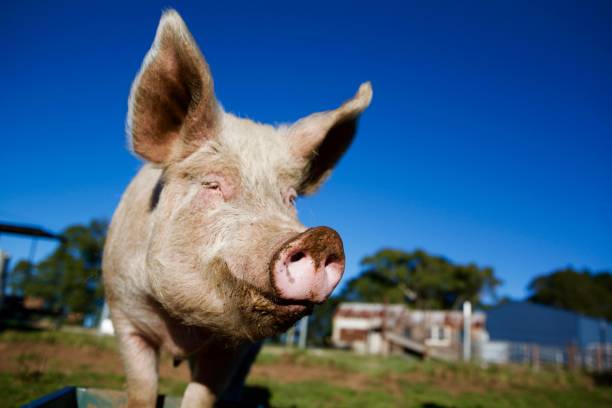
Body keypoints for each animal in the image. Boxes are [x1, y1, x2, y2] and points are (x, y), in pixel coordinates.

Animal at [103, 9, 370, 408]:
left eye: (290, 198)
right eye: (213, 185)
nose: (323, 237)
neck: (181, 329)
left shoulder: (236, 348)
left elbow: (203, 395)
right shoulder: (124, 314)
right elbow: (141, 387)